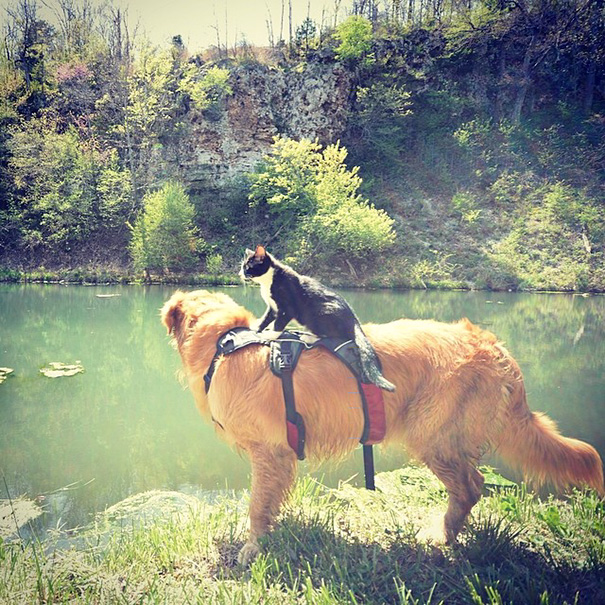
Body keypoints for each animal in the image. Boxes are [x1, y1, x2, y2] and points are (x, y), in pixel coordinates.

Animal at [162, 288, 604, 560]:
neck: (228, 343)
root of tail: (494, 347)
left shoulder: (269, 452)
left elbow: (257, 506)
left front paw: (252, 549)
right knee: (473, 484)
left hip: (432, 435)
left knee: (470, 487)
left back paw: (441, 535)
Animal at [241, 245, 396, 392]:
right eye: (243, 266)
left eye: (248, 266)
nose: (240, 273)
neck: (268, 281)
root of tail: (353, 320)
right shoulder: (273, 308)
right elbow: (266, 318)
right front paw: (257, 328)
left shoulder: (287, 308)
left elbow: (278, 323)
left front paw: (270, 335)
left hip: (319, 313)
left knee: (330, 335)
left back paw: (308, 337)